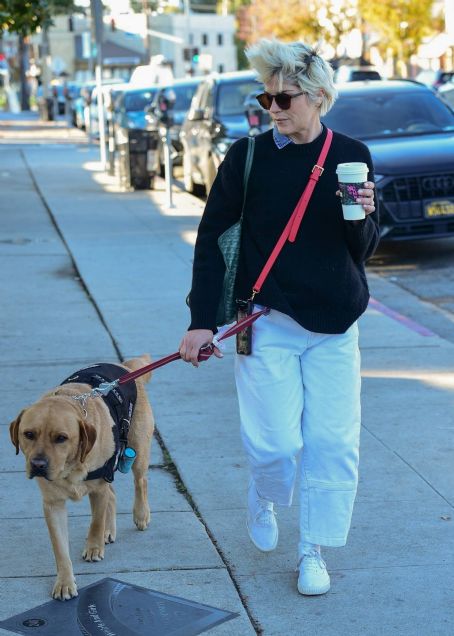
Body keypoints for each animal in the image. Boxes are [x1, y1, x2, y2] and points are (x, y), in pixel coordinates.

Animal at [8, 358, 154, 600]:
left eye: (61, 438)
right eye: (28, 434)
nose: (38, 465)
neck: (70, 467)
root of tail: (125, 366)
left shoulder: (98, 488)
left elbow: (96, 521)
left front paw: (94, 547)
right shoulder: (53, 504)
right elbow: (60, 548)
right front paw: (65, 581)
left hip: (138, 450)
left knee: (140, 482)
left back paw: (140, 515)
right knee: (113, 494)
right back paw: (109, 530)